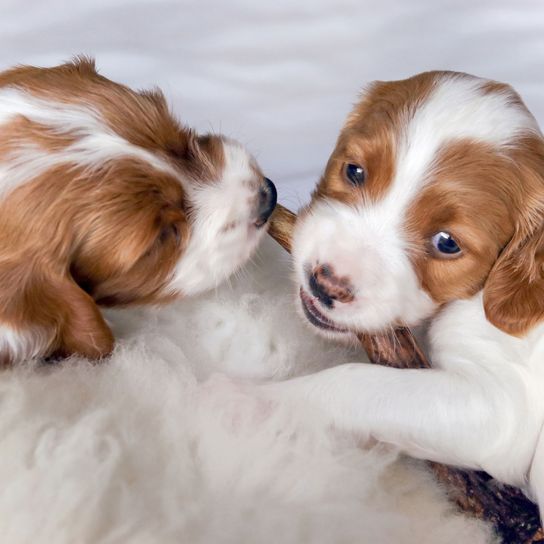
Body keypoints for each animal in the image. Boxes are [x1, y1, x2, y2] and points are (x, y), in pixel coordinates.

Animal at [272, 73, 544, 520]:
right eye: (355, 171)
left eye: (447, 243)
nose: (325, 284)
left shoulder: (499, 406)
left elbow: (352, 382)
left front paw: (240, 401)